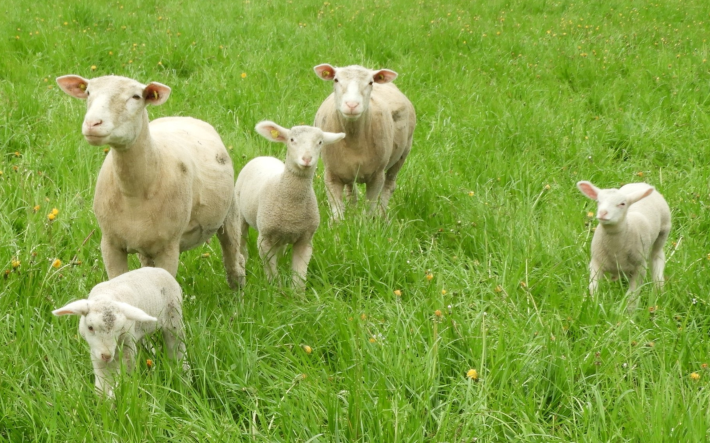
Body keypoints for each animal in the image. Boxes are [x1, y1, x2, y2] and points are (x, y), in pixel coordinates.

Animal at [52, 267, 187, 397]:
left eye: (119, 328)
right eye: (90, 327)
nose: (106, 356)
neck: (106, 296)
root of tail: (160, 269)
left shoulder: (127, 345)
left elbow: (124, 373)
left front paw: (116, 395)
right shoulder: (96, 351)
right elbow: (102, 384)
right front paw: (102, 401)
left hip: (174, 317)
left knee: (177, 347)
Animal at [56, 74, 240, 288]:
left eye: (136, 97)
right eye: (87, 92)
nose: (93, 123)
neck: (133, 193)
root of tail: (183, 117)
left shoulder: (168, 248)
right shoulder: (110, 244)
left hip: (229, 212)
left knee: (233, 255)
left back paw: (237, 292)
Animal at [234, 121, 345, 289]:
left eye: (320, 142)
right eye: (292, 140)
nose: (307, 159)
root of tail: (264, 157)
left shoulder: (305, 240)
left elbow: (299, 277)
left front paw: (296, 294)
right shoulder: (265, 240)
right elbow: (272, 273)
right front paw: (276, 289)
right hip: (240, 215)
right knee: (242, 242)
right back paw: (243, 262)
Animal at [313, 64, 416, 220]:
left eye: (371, 82)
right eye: (336, 80)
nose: (351, 105)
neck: (353, 138)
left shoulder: (377, 175)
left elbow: (369, 208)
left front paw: (367, 223)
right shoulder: (331, 174)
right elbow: (337, 211)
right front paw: (341, 224)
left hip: (403, 152)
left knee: (389, 185)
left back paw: (382, 216)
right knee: (351, 191)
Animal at [577, 181, 671, 312]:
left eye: (622, 204)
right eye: (598, 201)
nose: (603, 213)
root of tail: (641, 183)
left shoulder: (639, 267)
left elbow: (632, 294)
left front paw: (628, 312)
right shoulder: (596, 263)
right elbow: (593, 288)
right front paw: (590, 305)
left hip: (663, 230)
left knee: (657, 256)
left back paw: (658, 288)